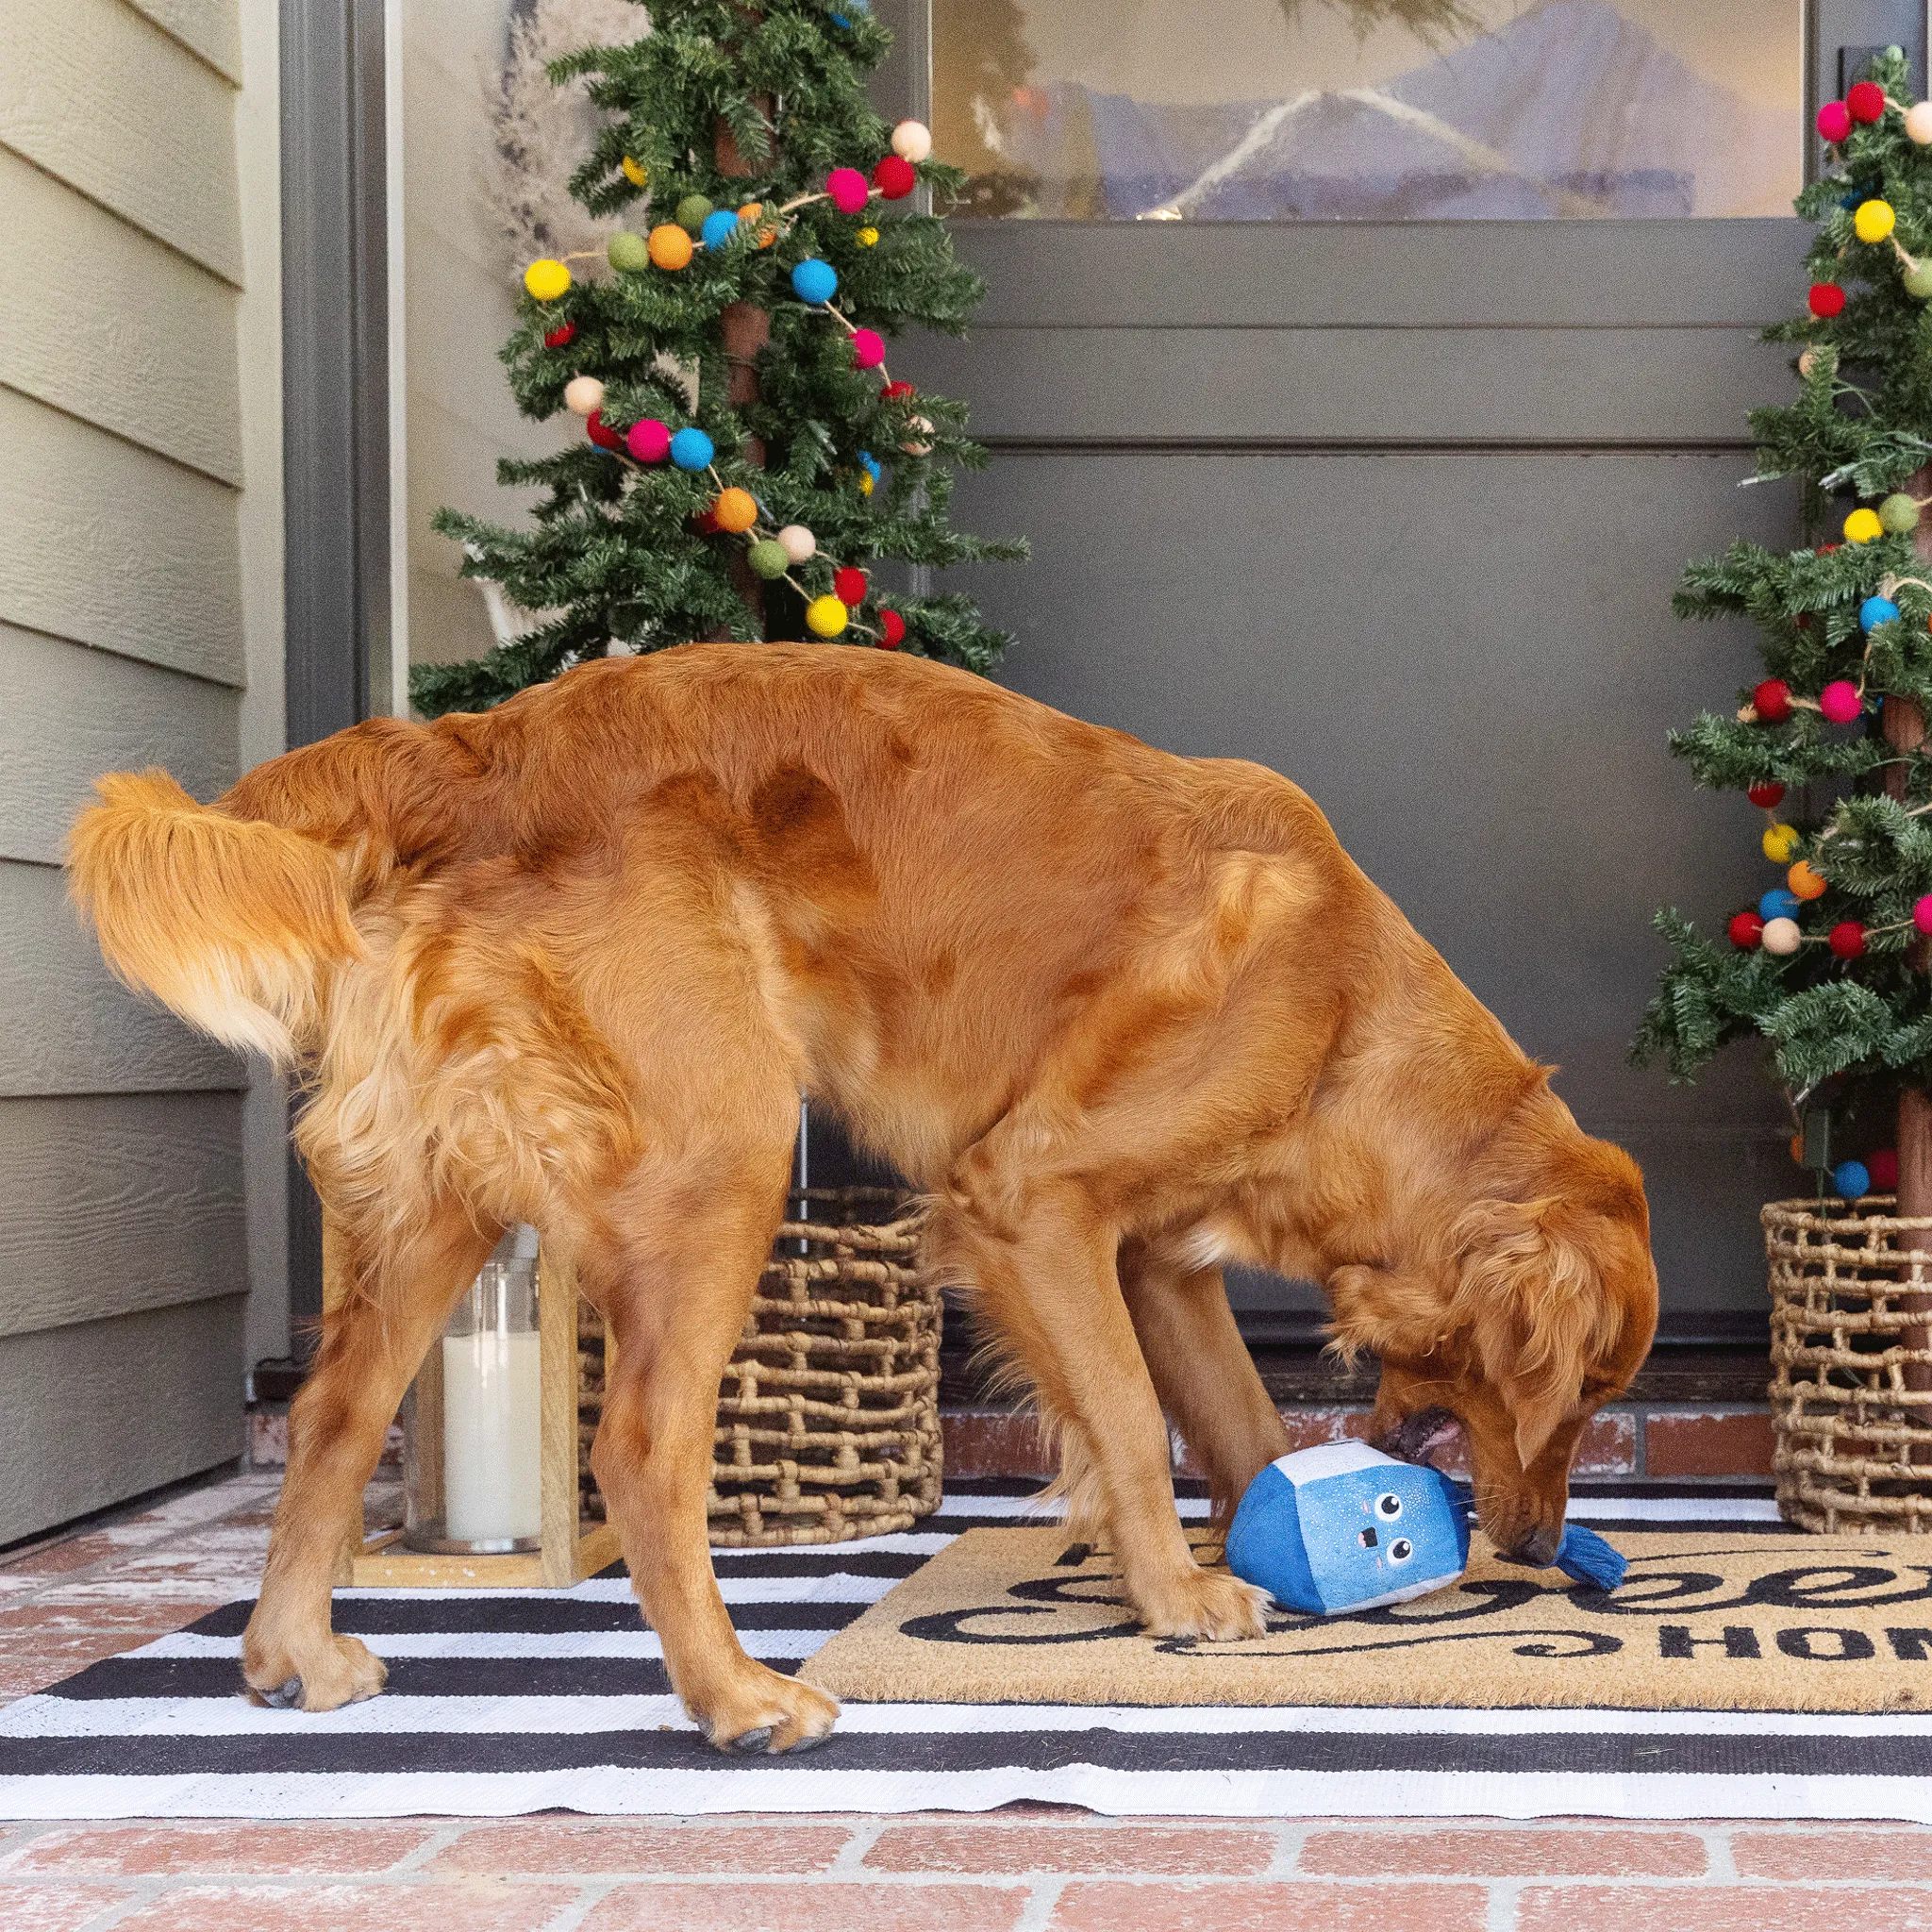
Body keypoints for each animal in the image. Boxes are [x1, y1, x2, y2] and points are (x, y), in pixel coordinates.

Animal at [68, 645, 1654, 1754]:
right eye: (1574, 1398)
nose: (1533, 1551)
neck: (1343, 1028)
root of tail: (471, 749)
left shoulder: (1158, 1260)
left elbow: (1243, 1429)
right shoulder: (1034, 1201)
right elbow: (1133, 1424)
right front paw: (1184, 1600)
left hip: (446, 1204)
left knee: (337, 1415)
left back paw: (289, 1655)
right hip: (725, 1151)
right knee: (639, 1447)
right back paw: (734, 1696)